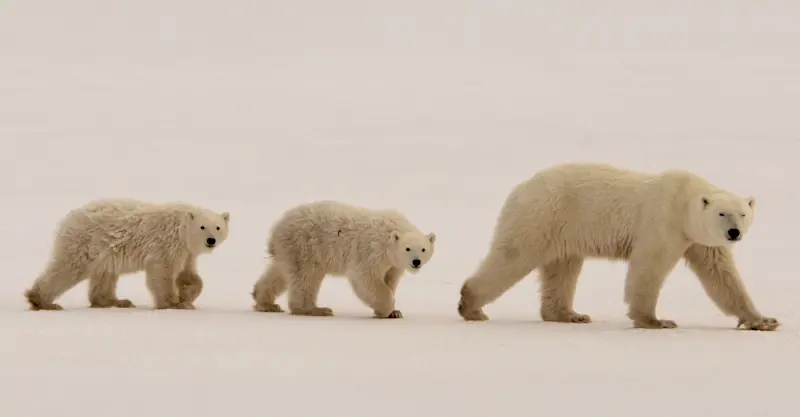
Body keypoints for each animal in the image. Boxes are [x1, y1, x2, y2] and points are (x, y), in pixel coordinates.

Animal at [24, 198, 230, 311]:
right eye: (202, 227)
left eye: (218, 227)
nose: (211, 240)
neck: (180, 226)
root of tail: (68, 219)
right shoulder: (166, 243)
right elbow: (162, 271)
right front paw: (172, 303)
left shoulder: (187, 251)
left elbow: (189, 273)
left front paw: (186, 295)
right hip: (86, 242)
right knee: (67, 268)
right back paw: (42, 301)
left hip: (104, 251)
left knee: (105, 275)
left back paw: (116, 301)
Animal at [251, 200, 436, 318]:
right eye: (407, 248)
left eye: (423, 249)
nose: (416, 262)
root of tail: (277, 228)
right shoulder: (371, 250)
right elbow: (366, 278)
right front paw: (386, 310)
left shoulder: (393, 264)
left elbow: (390, 279)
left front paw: (395, 312)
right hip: (306, 246)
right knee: (306, 277)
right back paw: (317, 310)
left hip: (290, 250)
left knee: (279, 273)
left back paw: (266, 303)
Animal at [457, 162, 779, 331]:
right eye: (722, 213)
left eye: (743, 213)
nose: (734, 232)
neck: (684, 202)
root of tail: (519, 188)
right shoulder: (663, 223)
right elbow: (648, 267)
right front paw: (656, 320)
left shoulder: (700, 239)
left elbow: (721, 277)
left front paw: (763, 320)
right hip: (542, 216)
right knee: (513, 256)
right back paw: (471, 306)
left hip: (563, 231)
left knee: (563, 269)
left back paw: (570, 314)